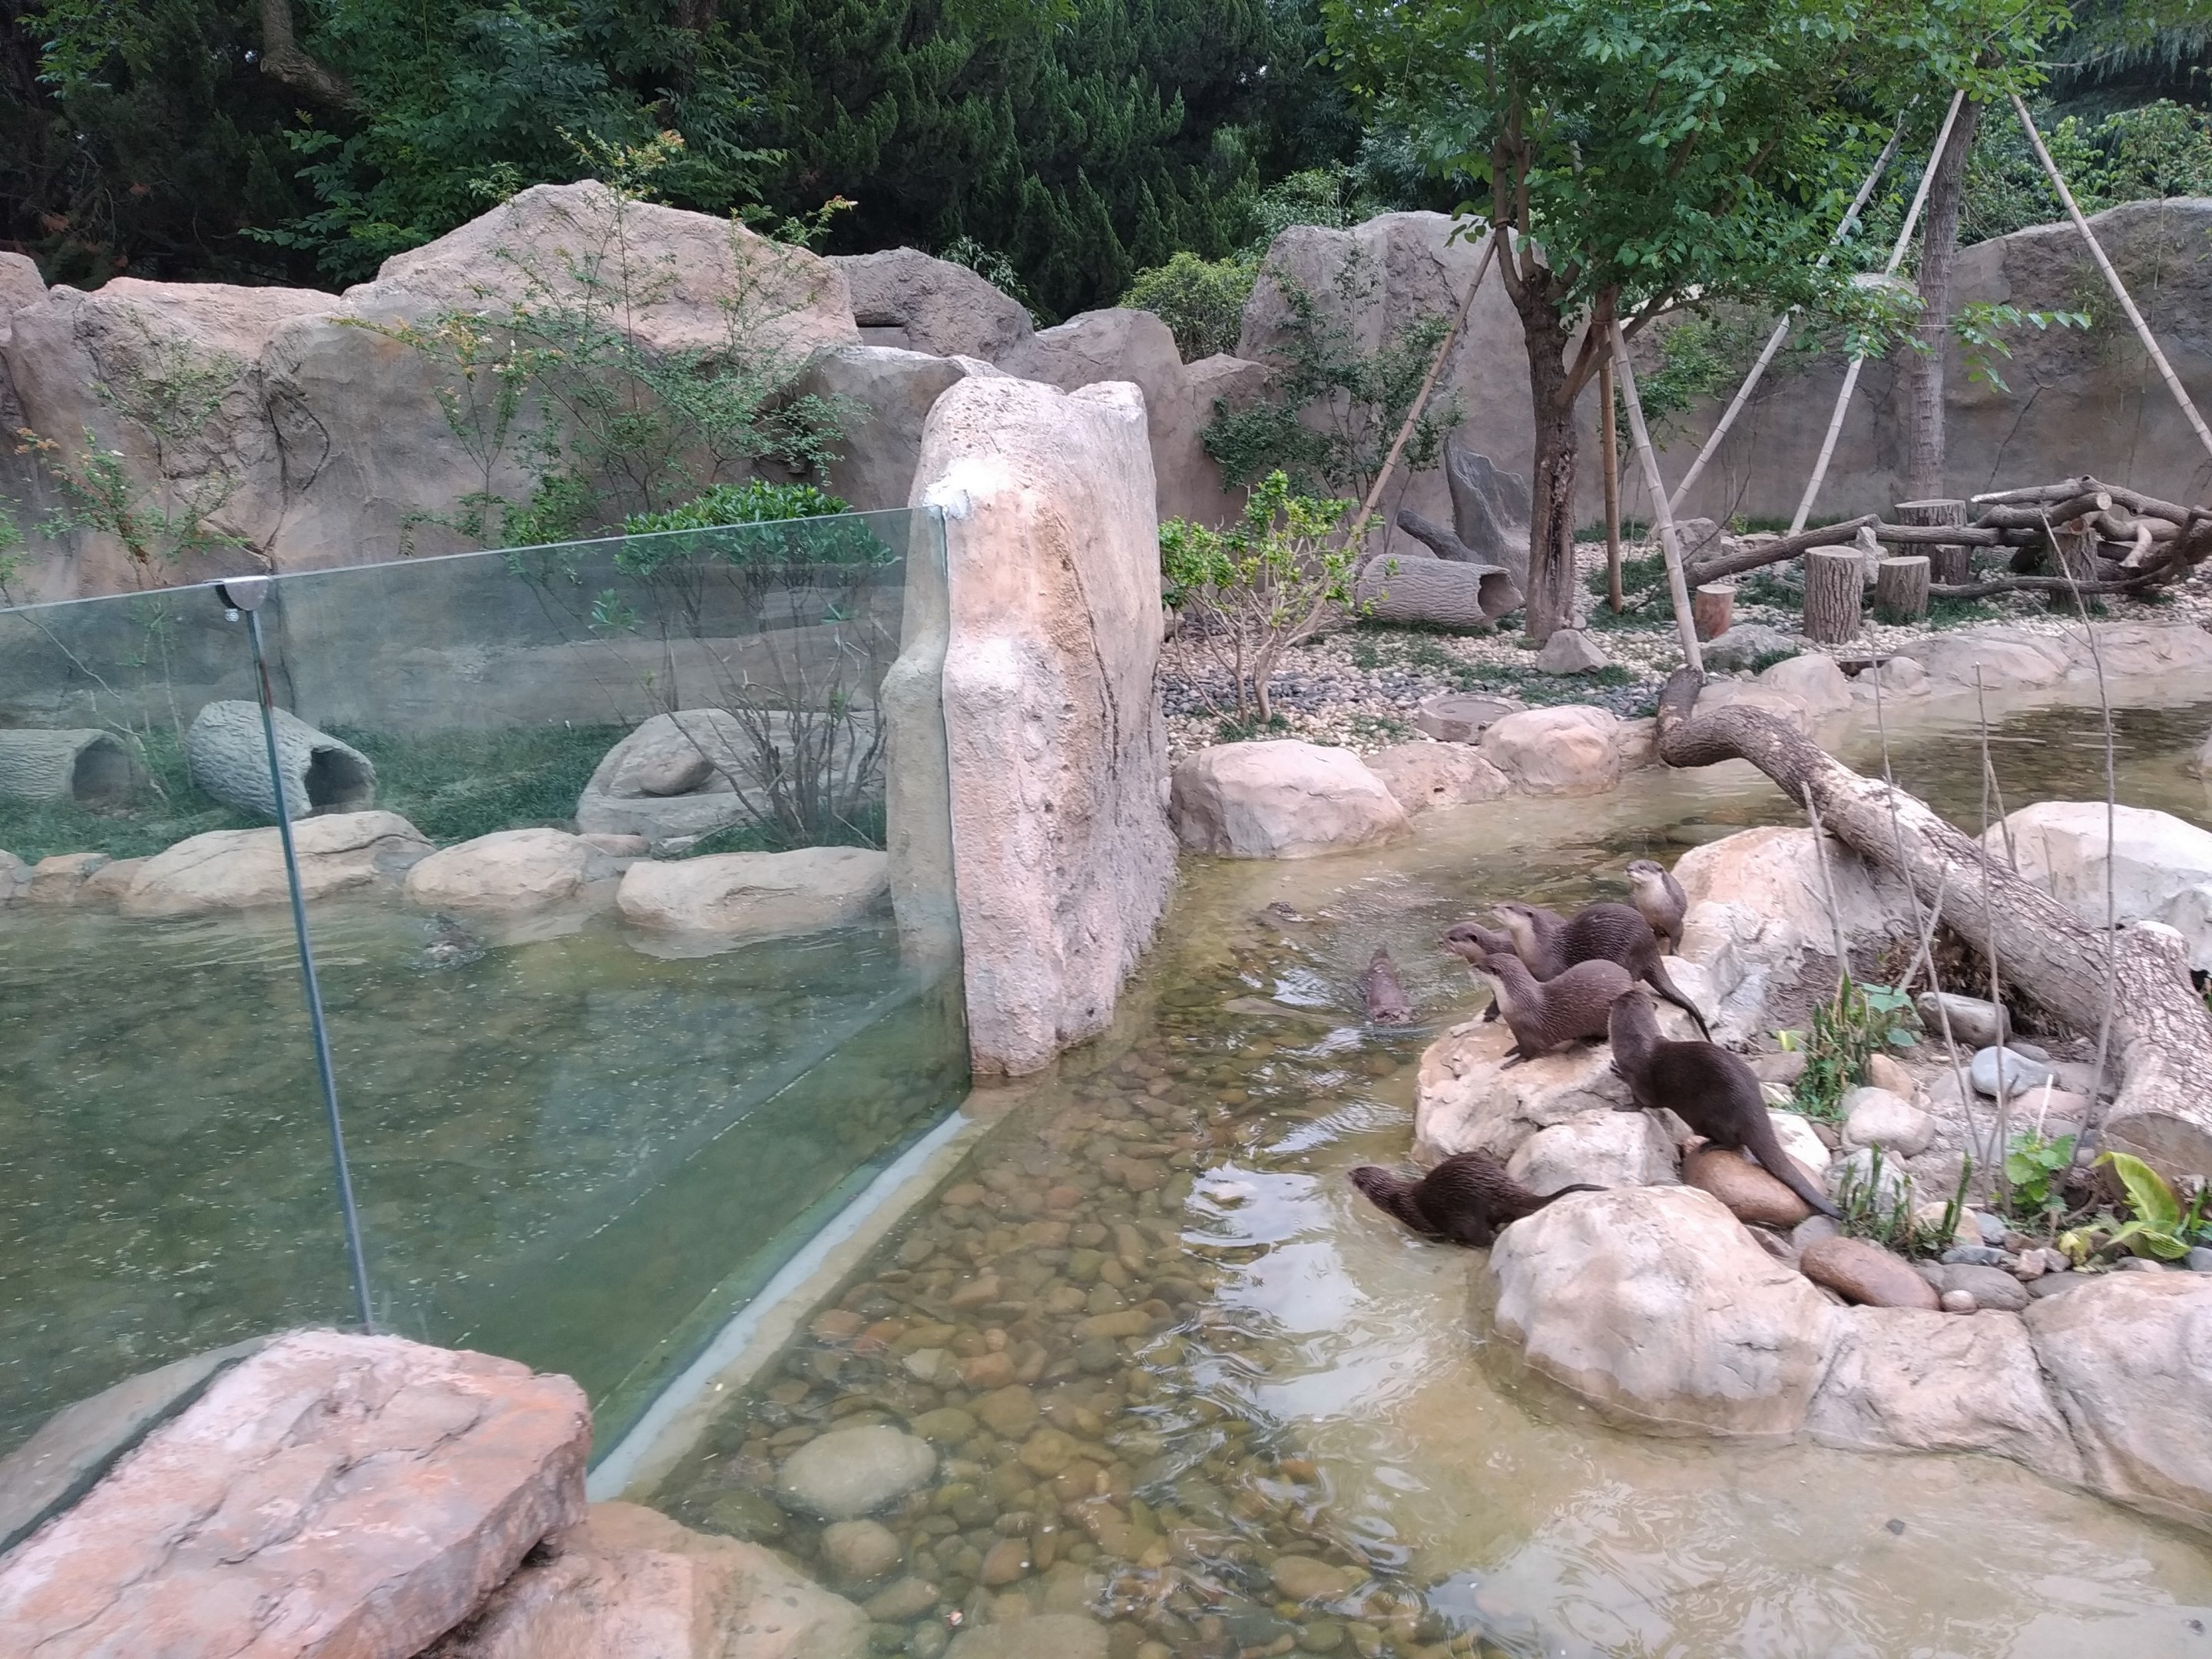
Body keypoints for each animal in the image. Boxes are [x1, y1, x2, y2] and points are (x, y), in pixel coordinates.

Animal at [1349, 1152, 1605, 1246]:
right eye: (1358, 1169)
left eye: (1356, 1176)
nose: (1348, 1172)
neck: (1395, 1198)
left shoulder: (1417, 1217)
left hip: (1467, 1215)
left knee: (1483, 1237)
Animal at [1459, 951, 1633, 1063]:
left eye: (1480, 965)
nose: (1470, 967)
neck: (1516, 1001)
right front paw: (1512, 1050)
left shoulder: (1527, 1031)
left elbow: (1528, 1052)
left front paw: (1514, 1060)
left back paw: (1592, 1040)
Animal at [1492, 899, 1711, 1040]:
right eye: (1503, 902)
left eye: (1508, 907)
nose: (1493, 906)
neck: (1539, 949)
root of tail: (1651, 949)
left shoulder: (1551, 971)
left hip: (1626, 953)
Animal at [1606, 987, 1839, 1218]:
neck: (1637, 1043)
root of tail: (1754, 1110)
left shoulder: (1639, 1079)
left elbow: (1641, 1102)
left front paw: (1623, 1104)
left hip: (1710, 1117)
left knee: (1734, 1142)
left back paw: (1710, 1145)